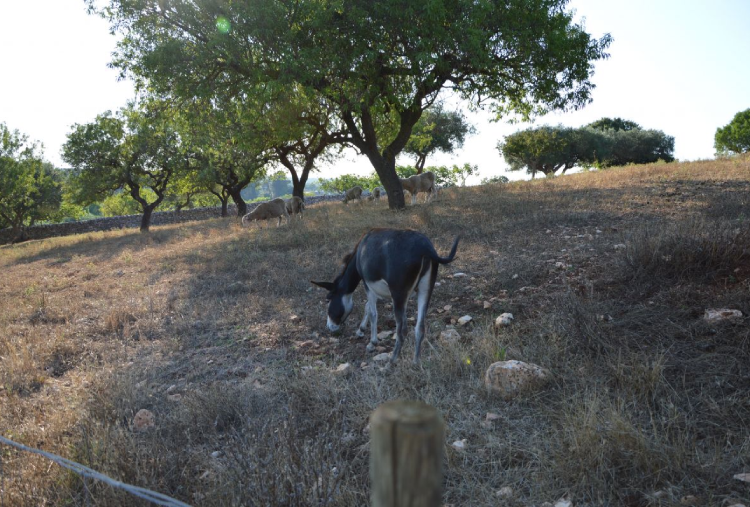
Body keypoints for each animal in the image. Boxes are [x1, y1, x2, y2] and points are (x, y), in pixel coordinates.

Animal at [312, 228, 460, 363]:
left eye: (328, 299)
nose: (330, 326)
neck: (361, 250)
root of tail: (426, 248)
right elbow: (367, 306)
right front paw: (361, 330)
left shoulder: (368, 284)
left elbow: (372, 312)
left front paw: (372, 342)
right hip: (425, 290)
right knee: (420, 327)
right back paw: (416, 362)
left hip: (399, 295)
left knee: (402, 330)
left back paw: (390, 363)